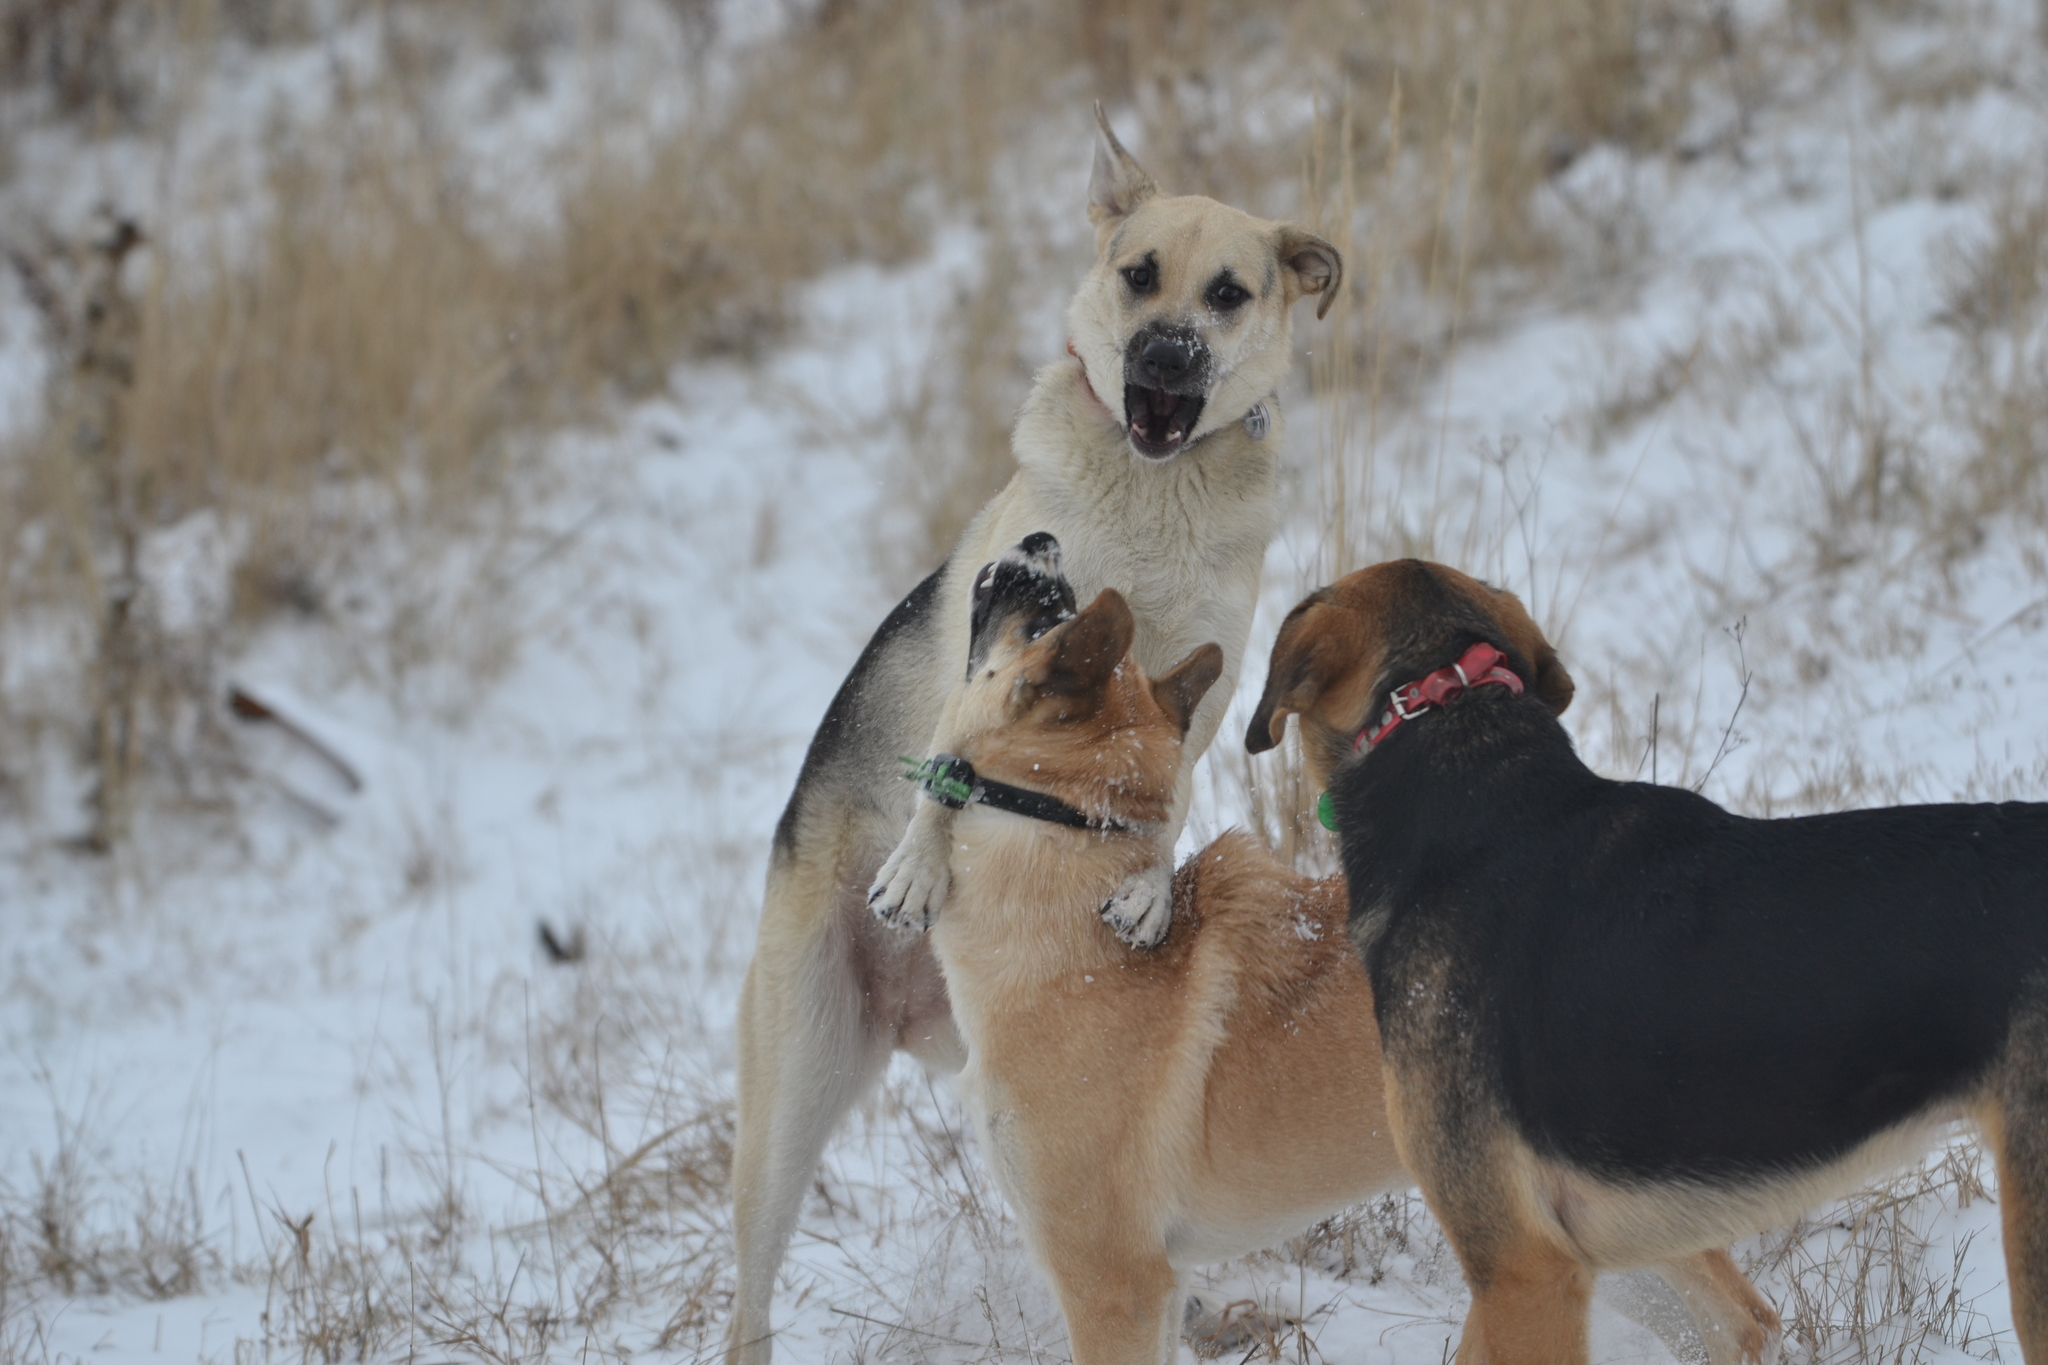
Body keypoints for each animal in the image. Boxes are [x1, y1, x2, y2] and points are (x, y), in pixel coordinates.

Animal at [720, 109, 1343, 1365]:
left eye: (1227, 293)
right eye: (1137, 274)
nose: (1163, 358)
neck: (1153, 493)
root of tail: (918, 1011)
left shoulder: (1199, 690)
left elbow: (1169, 794)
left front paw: (1143, 887)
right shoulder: (996, 640)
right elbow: (947, 763)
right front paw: (916, 865)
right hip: (790, 1102)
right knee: (748, 1298)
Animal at [905, 540, 1785, 1365]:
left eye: (1044, 622)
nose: (1034, 543)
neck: (1075, 928)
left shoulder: (1111, 1280)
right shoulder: (1161, 1283)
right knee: (1741, 1316)